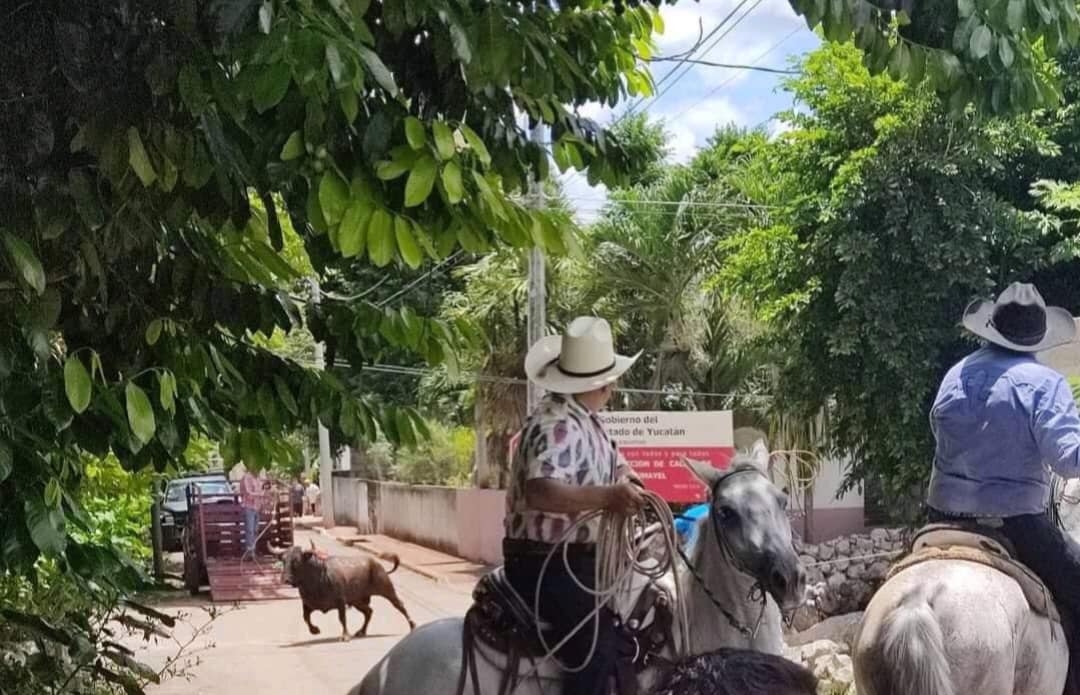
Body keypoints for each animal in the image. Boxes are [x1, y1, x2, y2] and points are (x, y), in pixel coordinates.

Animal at [276, 539, 414, 643]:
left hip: (387, 590)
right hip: (357, 600)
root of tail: (376, 563)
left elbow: (342, 618)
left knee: (399, 605)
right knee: (369, 611)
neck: (317, 579)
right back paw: (361, 632)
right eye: (283, 560)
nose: (285, 580)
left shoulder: (341, 601)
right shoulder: (307, 603)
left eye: (296, 561)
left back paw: (412, 625)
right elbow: (305, 617)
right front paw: (314, 630)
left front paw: (345, 636)